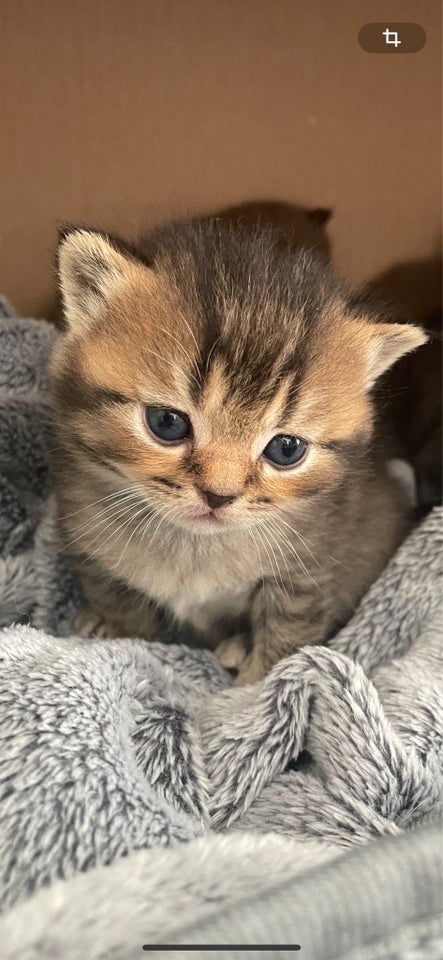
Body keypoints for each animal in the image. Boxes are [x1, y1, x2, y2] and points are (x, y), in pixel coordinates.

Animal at [48, 219, 426, 684]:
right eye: (167, 423)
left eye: (286, 449)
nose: (218, 496)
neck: (194, 549)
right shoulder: (82, 530)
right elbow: (113, 593)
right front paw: (115, 627)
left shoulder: (310, 566)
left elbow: (286, 632)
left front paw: (252, 690)